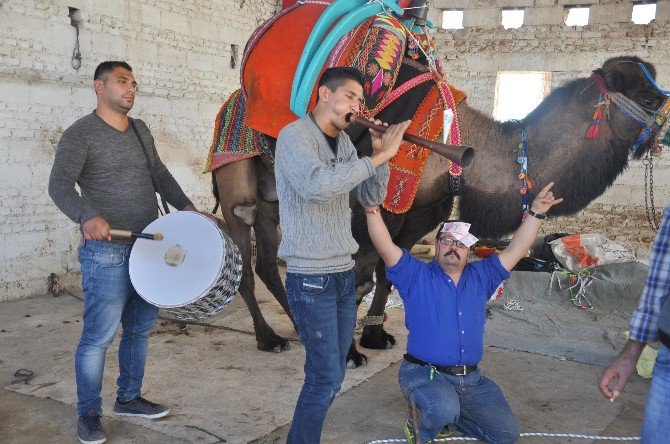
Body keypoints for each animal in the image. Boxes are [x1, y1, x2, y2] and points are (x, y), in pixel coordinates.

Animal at [211, 53, 668, 362]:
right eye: (648, 95)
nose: (664, 128)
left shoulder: (423, 212)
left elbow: (389, 272)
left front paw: (374, 337)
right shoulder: (370, 207)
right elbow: (357, 277)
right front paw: (349, 353)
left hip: (275, 199)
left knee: (268, 261)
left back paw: (300, 330)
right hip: (237, 182)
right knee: (244, 247)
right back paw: (269, 338)